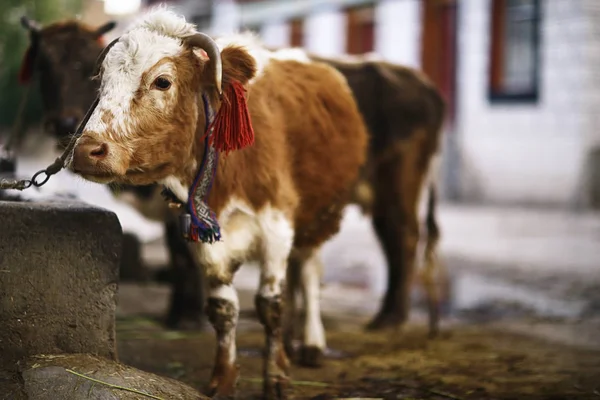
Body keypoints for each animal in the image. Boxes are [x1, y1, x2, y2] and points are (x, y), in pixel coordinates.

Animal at [65, 7, 366, 398]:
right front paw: (223, 378)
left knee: (309, 272)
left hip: (320, 215)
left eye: (162, 82)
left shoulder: (276, 226)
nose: (87, 151)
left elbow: (270, 305)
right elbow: (224, 310)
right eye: (102, 82)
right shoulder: (205, 240)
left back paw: (312, 343)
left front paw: (276, 378)